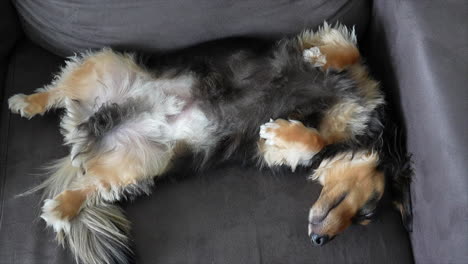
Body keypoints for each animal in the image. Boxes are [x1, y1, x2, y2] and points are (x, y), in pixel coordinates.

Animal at [8, 23, 414, 264]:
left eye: (364, 219)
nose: (320, 242)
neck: (358, 120)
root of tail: (87, 129)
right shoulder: (323, 47)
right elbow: (350, 50)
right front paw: (321, 58)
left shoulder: (282, 150)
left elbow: (310, 142)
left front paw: (282, 131)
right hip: (105, 64)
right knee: (59, 89)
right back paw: (27, 102)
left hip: (138, 162)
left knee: (90, 185)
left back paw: (61, 206)